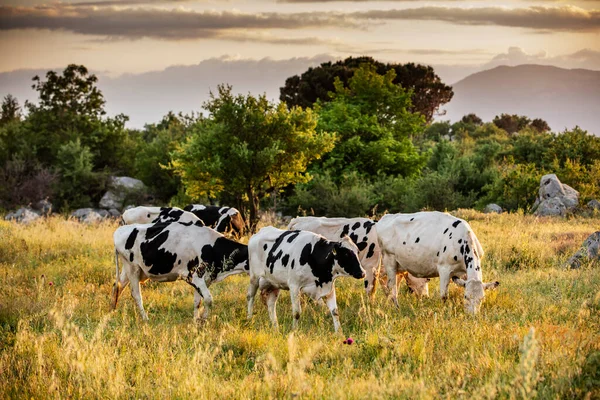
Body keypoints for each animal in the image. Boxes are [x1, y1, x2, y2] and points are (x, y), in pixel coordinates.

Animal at [113, 220, 247, 320]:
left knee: (118, 285)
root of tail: (120, 230)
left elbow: (197, 301)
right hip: (132, 267)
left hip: (131, 269)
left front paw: (196, 321)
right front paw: (203, 320)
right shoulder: (195, 276)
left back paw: (112, 310)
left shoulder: (205, 279)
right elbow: (209, 299)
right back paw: (145, 318)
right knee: (136, 294)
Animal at [288, 217, 428, 298]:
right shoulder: (370, 267)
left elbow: (391, 288)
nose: (426, 297)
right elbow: (371, 290)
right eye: (427, 279)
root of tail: (299, 219)